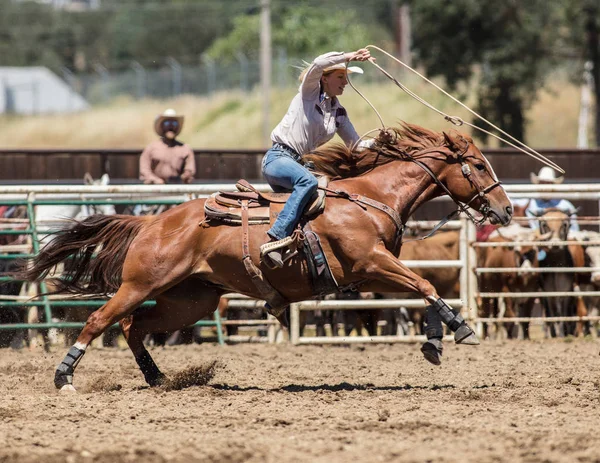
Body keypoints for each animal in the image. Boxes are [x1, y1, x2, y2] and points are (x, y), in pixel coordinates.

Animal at [22, 124, 510, 392]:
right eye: (478, 165)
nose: (504, 210)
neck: (370, 197)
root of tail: (152, 222)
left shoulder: (369, 275)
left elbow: (422, 292)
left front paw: (434, 341)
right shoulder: (371, 263)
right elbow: (424, 286)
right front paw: (463, 329)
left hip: (191, 299)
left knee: (133, 327)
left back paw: (158, 378)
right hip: (142, 284)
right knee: (101, 320)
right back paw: (64, 377)